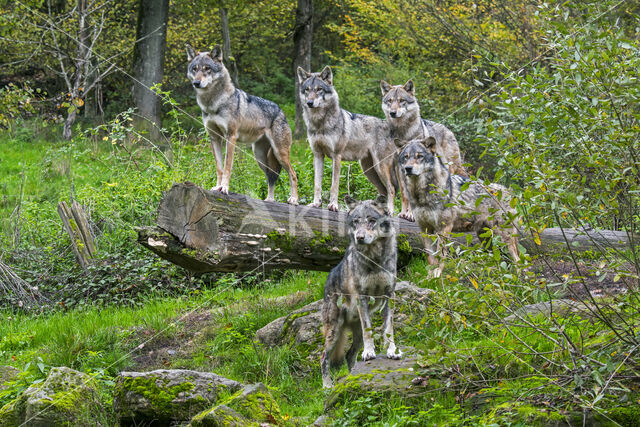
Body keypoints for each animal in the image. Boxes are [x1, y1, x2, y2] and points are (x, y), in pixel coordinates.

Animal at [186, 44, 298, 205]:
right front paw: (217, 187)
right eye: (195, 69)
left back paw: (294, 199)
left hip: (279, 153)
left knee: (293, 174)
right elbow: (219, 167)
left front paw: (224, 188)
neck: (213, 103)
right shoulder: (214, 138)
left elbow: (227, 166)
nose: (196, 83)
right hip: (260, 158)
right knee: (271, 177)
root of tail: (281, 111)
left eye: (207, 68)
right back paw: (269, 200)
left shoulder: (230, 136)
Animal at [298, 67, 412, 221]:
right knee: (384, 191)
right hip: (368, 170)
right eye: (307, 90)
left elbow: (334, 185)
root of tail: (394, 130)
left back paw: (389, 212)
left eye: (319, 89)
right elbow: (317, 184)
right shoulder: (317, 155)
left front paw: (333, 206)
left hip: (380, 167)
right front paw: (315, 204)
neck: (319, 123)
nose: (310, 102)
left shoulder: (336, 156)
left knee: (392, 189)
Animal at [322, 196, 402, 390]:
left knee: (349, 355)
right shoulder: (362, 297)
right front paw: (369, 352)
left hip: (353, 336)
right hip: (334, 331)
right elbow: (369, 330)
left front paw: (392, 351)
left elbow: (388, 328)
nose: (359, 237)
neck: (375, 260)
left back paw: (353, 377)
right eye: (356, 222)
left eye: (371, 220)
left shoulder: (390, 296)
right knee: (324, 358)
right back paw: (327, 386)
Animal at [398, 137, 524, 278]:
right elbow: (431, 258)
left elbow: (441, 255)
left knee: (517, 259)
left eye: (420, 156)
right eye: (406, 157)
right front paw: (430, 277)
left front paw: (437, 275)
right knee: (496, 259)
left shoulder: (444, 228)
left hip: (503, 236)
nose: (408, 168)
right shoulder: (425, 229)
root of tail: (508, 191)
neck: (422, 195)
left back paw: (517, 279)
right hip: (485, 238)